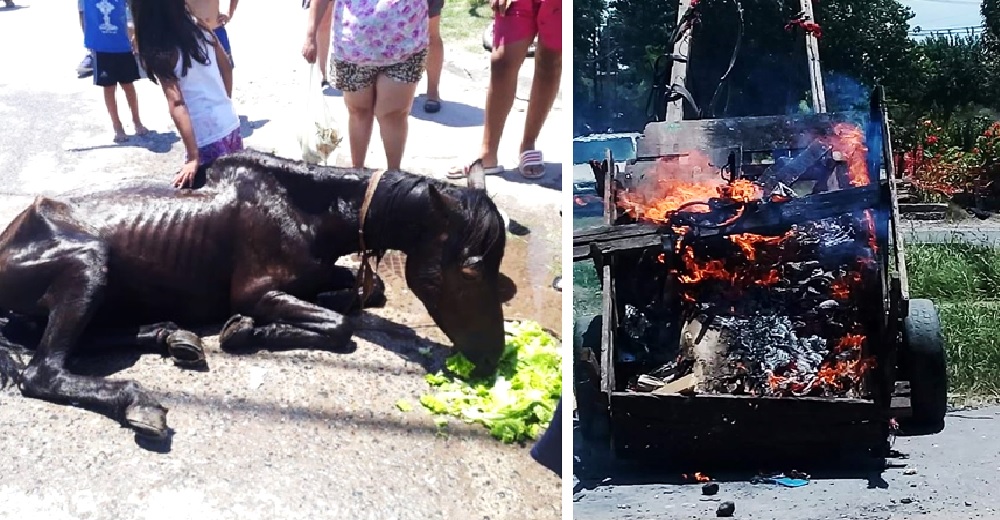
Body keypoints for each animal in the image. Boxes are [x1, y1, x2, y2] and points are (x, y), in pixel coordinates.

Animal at [0, 150, 504, 438]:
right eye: (466, 273)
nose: (492, 356)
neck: (303, 210)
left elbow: (367, 290)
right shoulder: (255, 292)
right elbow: (340, 325)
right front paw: (248, 332)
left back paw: (171, 336)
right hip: (88, 264)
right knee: (42, 372)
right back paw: (139, 399)